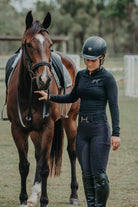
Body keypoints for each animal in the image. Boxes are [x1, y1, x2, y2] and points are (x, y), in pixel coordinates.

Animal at [6, 10, 80, 207]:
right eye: (28, 44)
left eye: (50, 44)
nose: (45, 80)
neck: (30, 93)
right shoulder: (18, 129)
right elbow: (24, 166)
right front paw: (24, 199)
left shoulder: (48, 128)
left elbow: (46, 167)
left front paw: (44, 201)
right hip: (34, 131)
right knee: (39, 156)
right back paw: (34, 194)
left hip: (70, 121)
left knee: (72, 153)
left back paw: (74, 195)